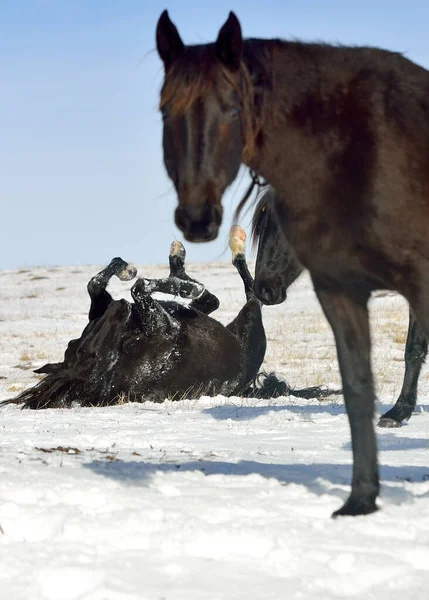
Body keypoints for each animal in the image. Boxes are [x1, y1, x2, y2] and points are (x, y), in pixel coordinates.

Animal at [1, 227, 340, 410]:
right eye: (89, 354)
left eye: (76, 345)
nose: (119, 309)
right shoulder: (160, 321)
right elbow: (142, 287)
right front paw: (176, 283)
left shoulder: (101, 308)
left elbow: (97, 283)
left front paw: (126, 268)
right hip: (251, 325)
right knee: (249, 293)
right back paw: (234, 247)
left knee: (211, 301)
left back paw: (178, 259)